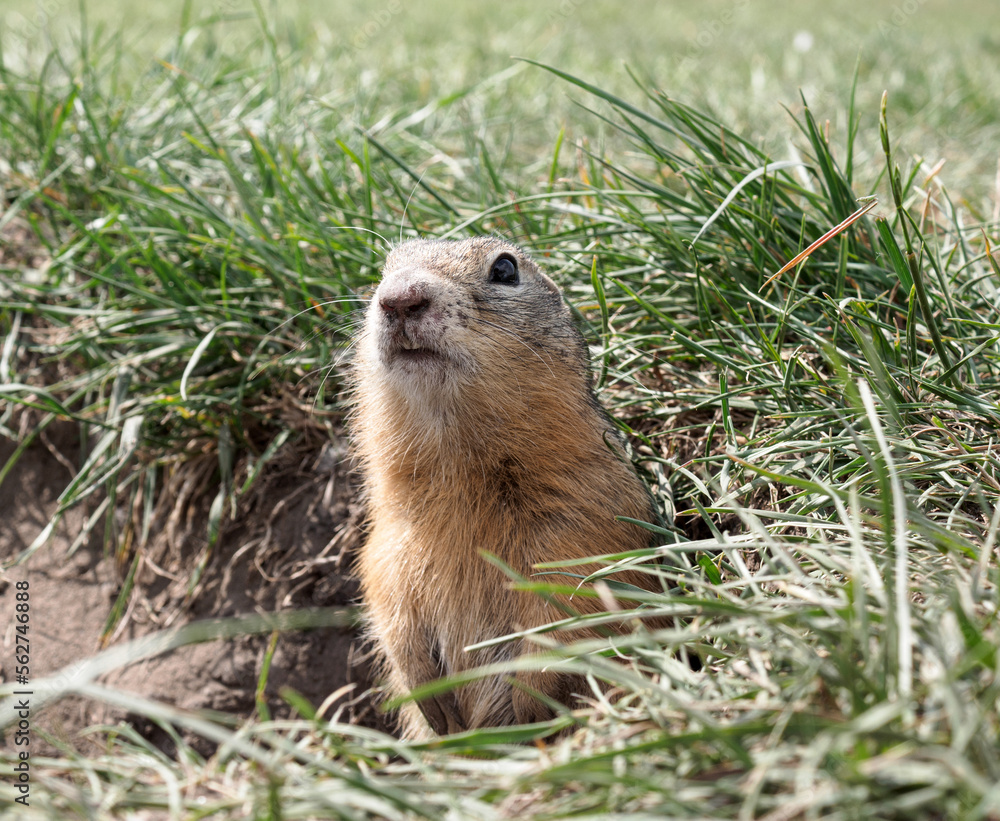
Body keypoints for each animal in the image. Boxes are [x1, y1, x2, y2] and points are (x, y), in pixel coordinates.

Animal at [352, 237, 664, 736]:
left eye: (505, 269)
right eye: (386, 268)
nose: (399, 297)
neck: (461, 463)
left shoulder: (586, 518)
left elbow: (574, 602)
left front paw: (533, 702)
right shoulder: (388, 535)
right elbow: (385, 589)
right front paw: (430, 698)